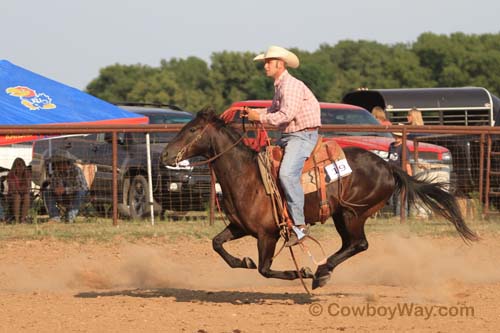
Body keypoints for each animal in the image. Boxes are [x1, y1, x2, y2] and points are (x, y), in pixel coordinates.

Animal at [161, 108, 476, 288]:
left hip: (352, 214)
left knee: (359, 244)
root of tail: (389, 166)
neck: (247, 176)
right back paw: (323, 271)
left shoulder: (268, 234)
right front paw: (244, 261)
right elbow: (217, 244)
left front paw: (297, 272)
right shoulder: (240, 227)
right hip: (342, 215)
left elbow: (265, 269)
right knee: (351, 244)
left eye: (191, 129)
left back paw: (320, 272)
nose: (165, 155)